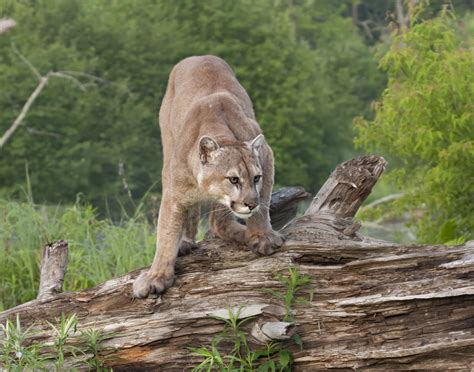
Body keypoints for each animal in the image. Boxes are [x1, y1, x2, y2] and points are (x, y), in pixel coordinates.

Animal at [131, 55, 284, 298]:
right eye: (234, 179)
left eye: (256, 178)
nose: (251, 203)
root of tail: (199, 56)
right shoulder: (174, 193)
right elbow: (166, 234)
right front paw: (156, 276)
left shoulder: (267, 157)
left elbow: (264, 205)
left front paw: (262, 237)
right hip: (167, 150)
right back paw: (186, 241)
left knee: (218, 223)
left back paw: (241, 233)